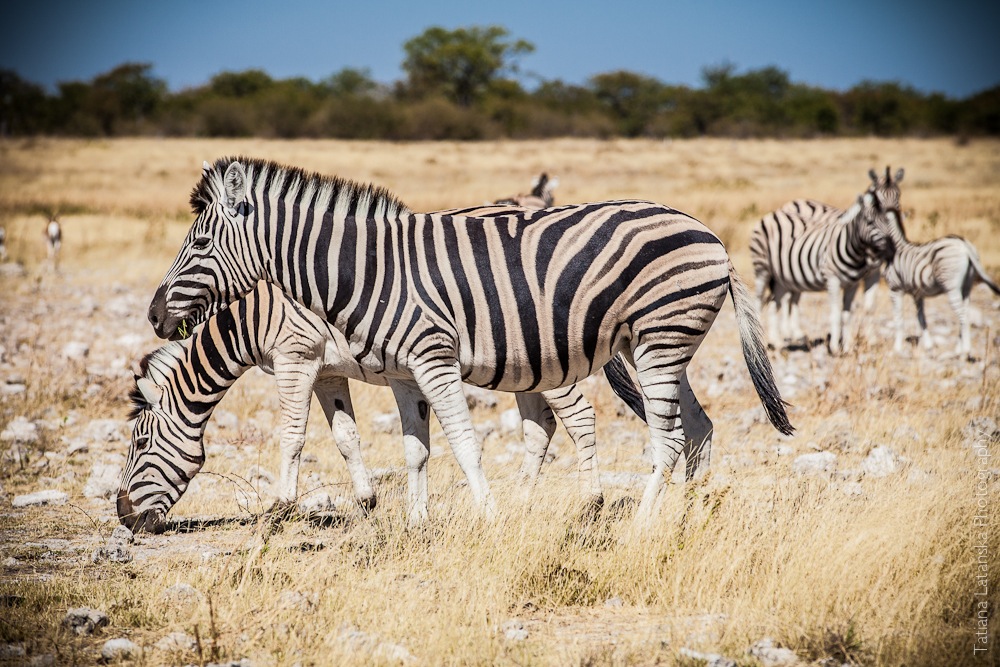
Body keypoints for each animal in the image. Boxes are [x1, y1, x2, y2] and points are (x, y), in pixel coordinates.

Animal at [121, 280, 628, 532]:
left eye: (140, 443)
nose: (124, 518)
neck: (252, 316)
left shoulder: (295, 356)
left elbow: (293, 434)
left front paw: (280, 509)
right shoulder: (328, 370)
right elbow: (346, 436)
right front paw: (367, 501)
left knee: (579, 415)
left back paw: (591, 503)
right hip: (523, 370)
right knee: (540, 425)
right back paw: (522, 501)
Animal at [748, 170, 904, 352]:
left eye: (898, 194)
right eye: (877, 194)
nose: (891, 247)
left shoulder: (867, 276)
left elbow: (862, 309)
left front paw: (860, 342)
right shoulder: (834, 279)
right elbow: (837, 312)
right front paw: (836, 346)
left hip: (784, 273)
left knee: (780, 299)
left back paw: (781, 339)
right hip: (763, 268)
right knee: (764, 299)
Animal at [868, 196, 1000, 358]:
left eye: (870, 219)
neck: (896, 248)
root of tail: (965, 245)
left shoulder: (895, 289)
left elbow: (899, 319)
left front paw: (897, 348)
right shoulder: (917, 294)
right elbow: (921, 319)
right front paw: (929, 346)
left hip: (951, 286)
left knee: (964, 316)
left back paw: (965, 351)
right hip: (967, 286)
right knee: (965, 312)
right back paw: (958, 349)